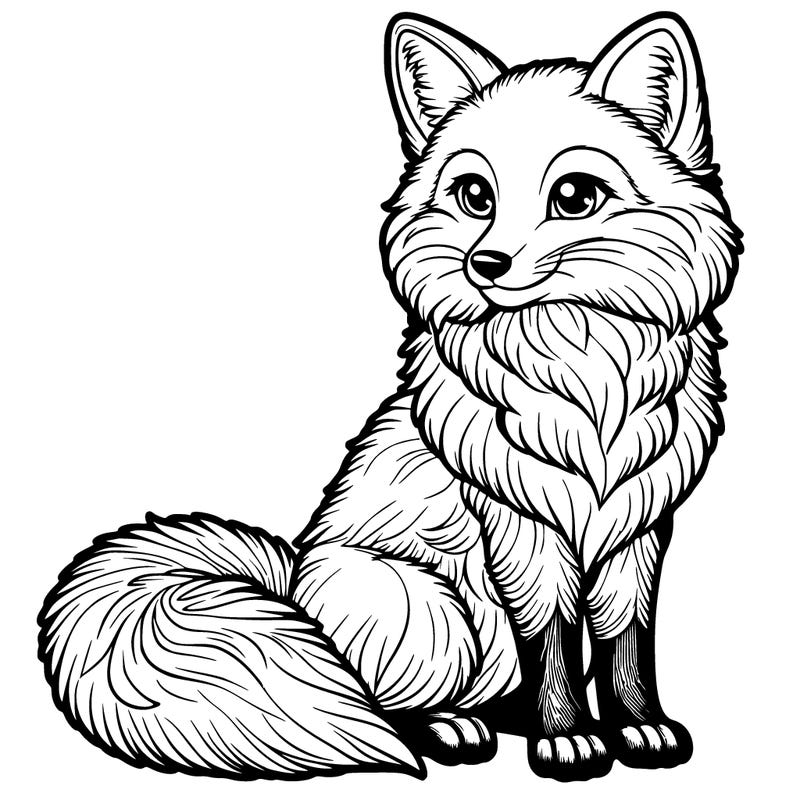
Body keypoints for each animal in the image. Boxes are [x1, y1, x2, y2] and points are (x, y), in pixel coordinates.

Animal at [38, 11, 741, 783]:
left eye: (575, 197)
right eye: (475, 196)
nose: (484, 263)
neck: (583, 380)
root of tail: (291, 584)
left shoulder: (637, 529)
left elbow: (625, 644)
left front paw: (637, 726)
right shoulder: (523, 531)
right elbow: (553, 642)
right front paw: (566, 738)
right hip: (435, 612)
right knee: (380, 704)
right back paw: (452, 728)